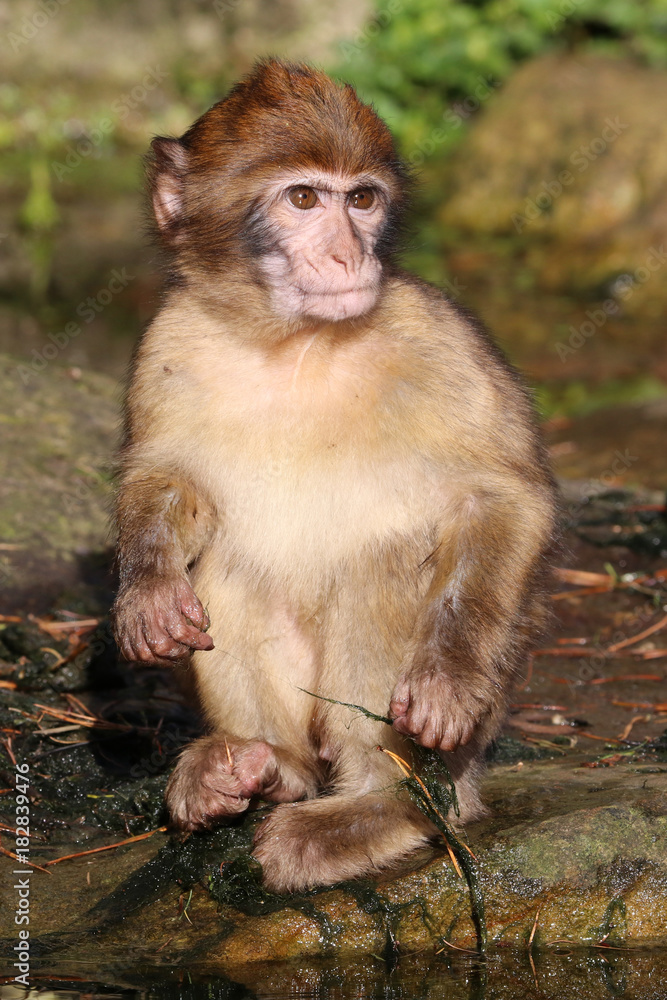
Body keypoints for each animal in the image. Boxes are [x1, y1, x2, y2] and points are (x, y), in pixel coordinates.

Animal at [112, 58, 558, 893]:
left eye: (361, 200)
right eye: (302, 199)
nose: (350, 257)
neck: (293, 343)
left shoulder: (435, 334)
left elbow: (503, 497)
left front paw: (446, 678)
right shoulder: (169, 340)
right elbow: (169, 478)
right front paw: (147, 589)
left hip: (470, 743)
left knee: (381, 565)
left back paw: (381, 808)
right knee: (229, 568)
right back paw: (257, 771)